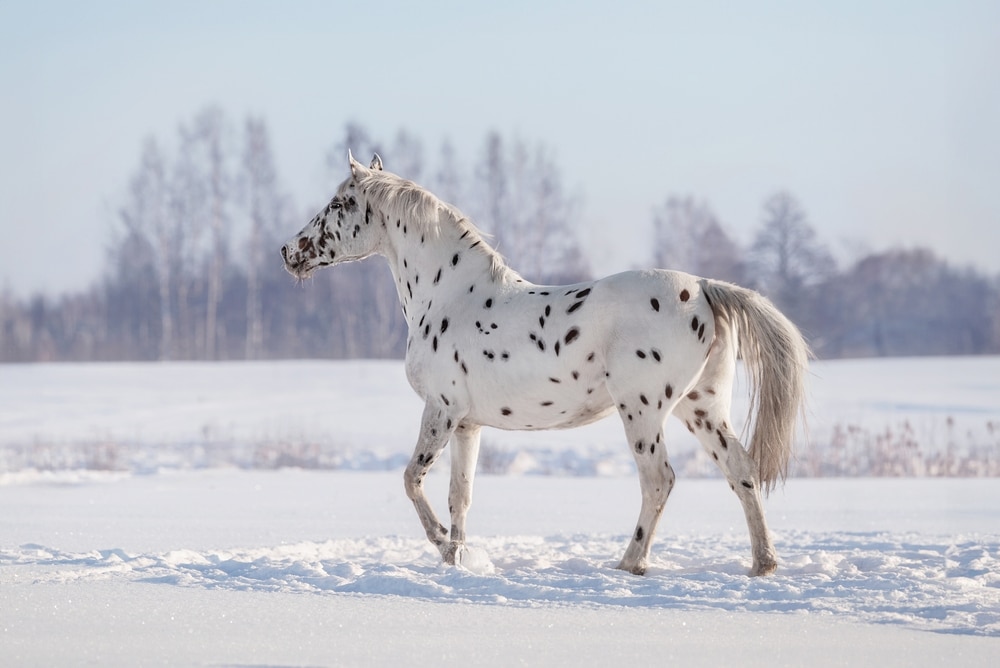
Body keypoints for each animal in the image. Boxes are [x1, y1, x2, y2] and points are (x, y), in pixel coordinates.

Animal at [282, 153, 812, 576]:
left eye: (338, 204)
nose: (288, 252)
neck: (450, 296)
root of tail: (702, 288)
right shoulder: (468, 424)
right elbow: (461, 496)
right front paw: (458, 559)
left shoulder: (441, 409)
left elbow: (413, 479)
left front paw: (440, 544)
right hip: (701, 407)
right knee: (740, 470)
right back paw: (762, 564)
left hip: (643, 411)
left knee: (659, 480)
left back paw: (630, 564)